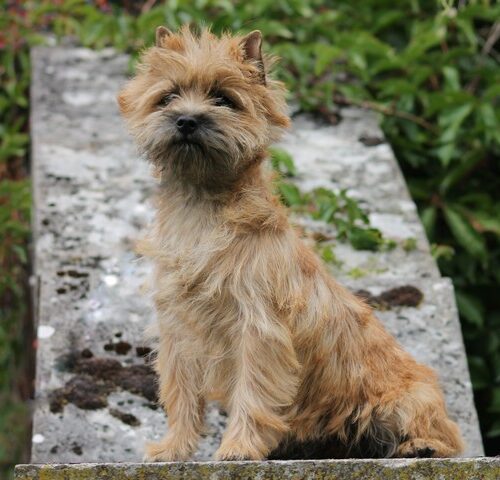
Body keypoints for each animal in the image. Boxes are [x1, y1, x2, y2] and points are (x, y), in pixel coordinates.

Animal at [118, 25, 464, 462]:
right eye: (168, 96)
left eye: (223, 98)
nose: (187, 120)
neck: (204, 208)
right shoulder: (179, 328)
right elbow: (181, 394)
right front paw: (173, 449)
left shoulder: (258, 328)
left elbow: (252, 392)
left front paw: (238, 448)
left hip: (408, 396)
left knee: (444, 432)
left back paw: (419, 447)